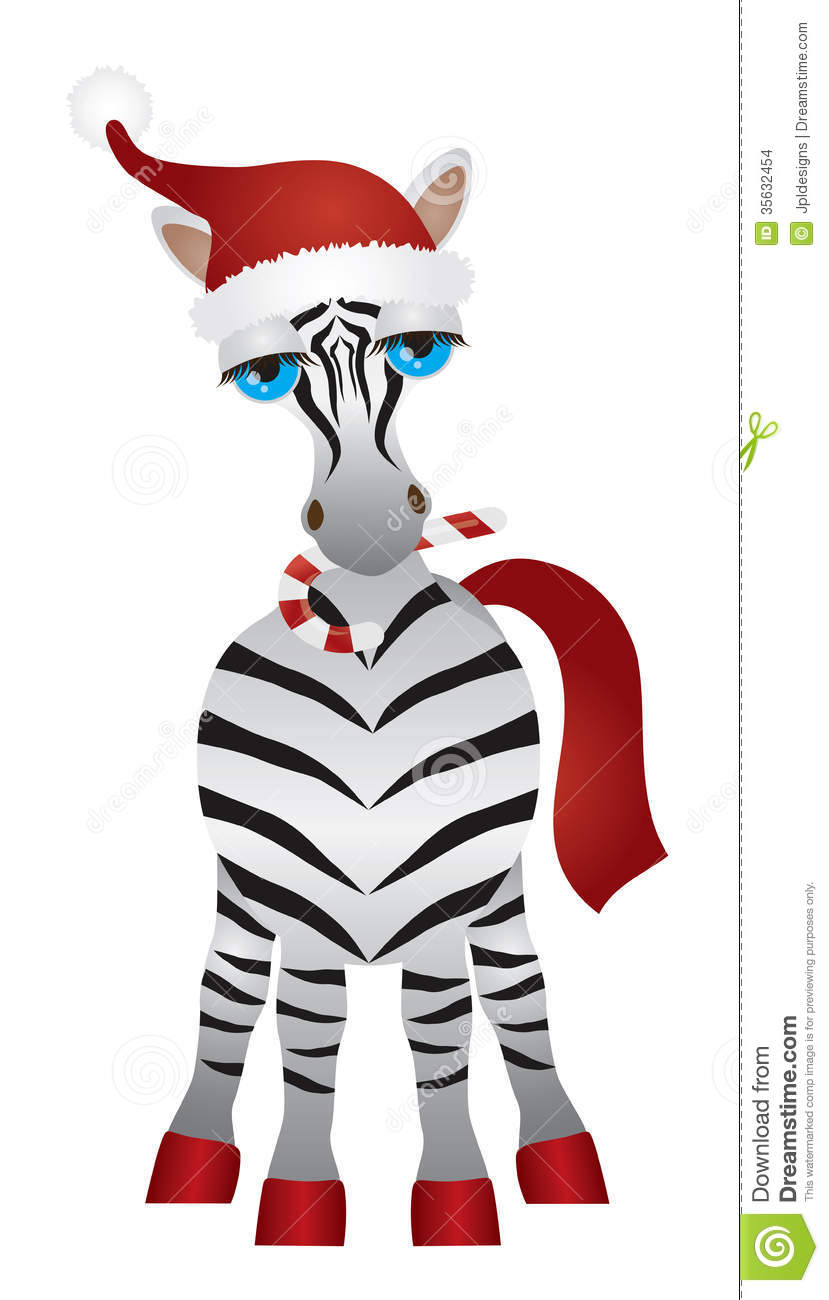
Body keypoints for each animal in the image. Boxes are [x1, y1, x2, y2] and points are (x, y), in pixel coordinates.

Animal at [87, 85, 665, 1246]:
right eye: (263, 376)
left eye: (426, 351)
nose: (362, 531)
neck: (363, 646)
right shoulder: (302, 895)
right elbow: (306, 1044)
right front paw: (299, 1206)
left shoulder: (446, 889)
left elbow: (444, 1040)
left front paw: (457, 1206)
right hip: (245, 892)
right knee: (228, 1001)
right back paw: (191, 1162)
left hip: (494, 890)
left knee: (517, 998)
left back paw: (562, 1162)